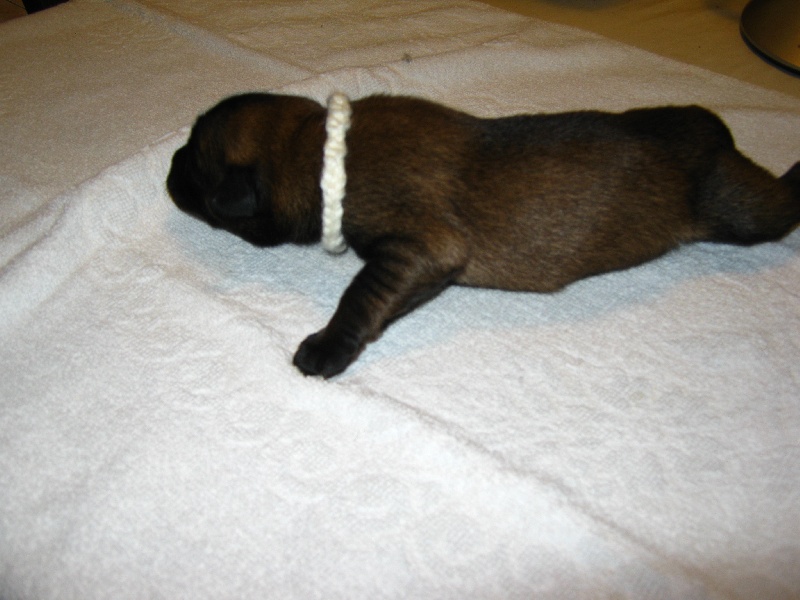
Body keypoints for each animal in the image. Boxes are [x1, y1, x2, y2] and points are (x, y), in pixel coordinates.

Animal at [167, 92, 800, 378]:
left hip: (738, 207)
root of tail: (709, 126)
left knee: (776, 203)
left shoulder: (420, 245)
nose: (167, 167)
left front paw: (327, 346)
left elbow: (359, 296)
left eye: (194, 165)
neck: (316, 146)